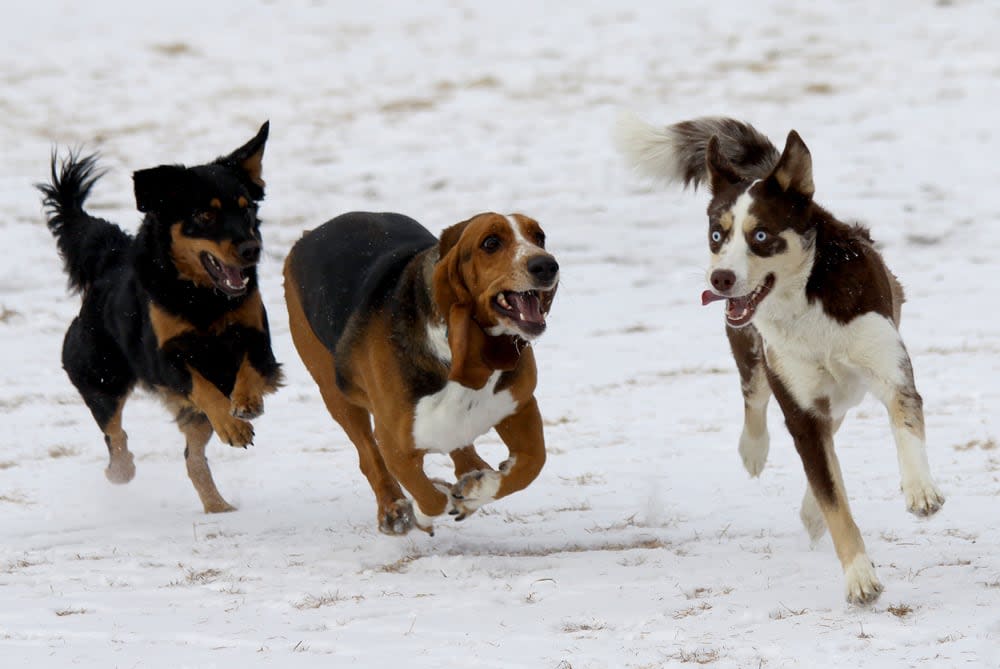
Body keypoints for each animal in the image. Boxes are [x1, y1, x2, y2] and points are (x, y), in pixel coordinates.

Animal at [39, 124, 282, 512]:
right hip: (99, 373)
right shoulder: (164, 357)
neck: (201, 297)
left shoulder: (258, 339)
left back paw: (218, 506)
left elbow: (248, 370)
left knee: (191, 457)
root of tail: (110, 258)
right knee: (114, 431)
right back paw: (121, 470)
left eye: (246, 211)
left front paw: (247, 404)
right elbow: (204, 389)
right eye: (204, 216)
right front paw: (234, 426)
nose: (251, 249)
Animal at [286, 211, 560, 536]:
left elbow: (533, 463)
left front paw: (476, 490)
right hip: (336, 393)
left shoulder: (520, 405)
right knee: (369, 457)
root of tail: (308, 235)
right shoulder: (394, 444)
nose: (546, 265)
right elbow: (430, 498)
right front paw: (423, 511)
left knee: (463, 451)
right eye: (490, 243)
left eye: (539, 236)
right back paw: (393, 509)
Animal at [616, 112, 944, 604]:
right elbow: (833, 498)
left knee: (834, 422)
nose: (720, 278)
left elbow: (903, 426)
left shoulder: (889, 370)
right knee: (757, 398)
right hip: (754, 354)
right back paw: (754, 450)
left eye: (761, 236)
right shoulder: (800, 407)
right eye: (717, 234)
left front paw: (920, 490)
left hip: (844, 384)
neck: (804, 301)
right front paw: (859, 576)